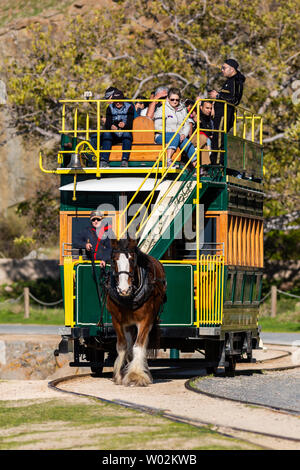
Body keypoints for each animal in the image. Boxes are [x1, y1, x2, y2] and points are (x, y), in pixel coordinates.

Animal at [106, 237, 166, 388]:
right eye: (114, 260)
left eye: (132, 260)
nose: (123, 290)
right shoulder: (117, 321)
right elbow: (123, 346)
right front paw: (119, 375)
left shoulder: (145, 320)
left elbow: (138, 346)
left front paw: (136, 376)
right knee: (128, 344)